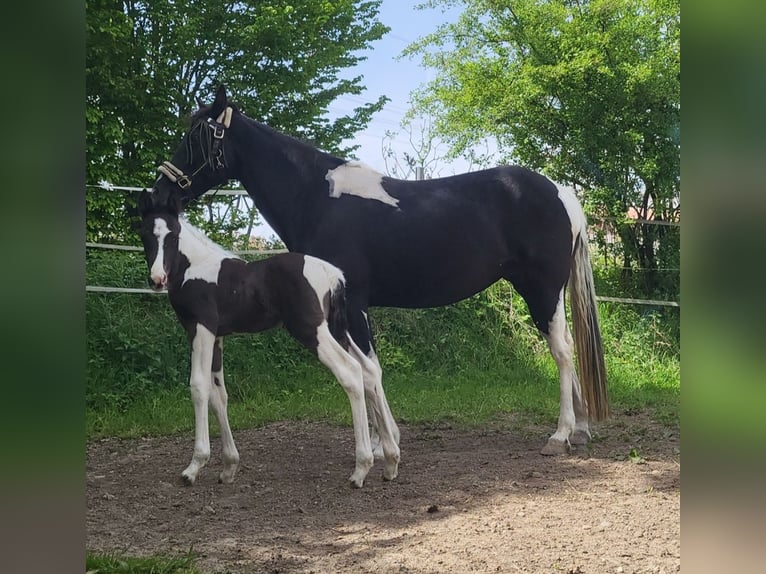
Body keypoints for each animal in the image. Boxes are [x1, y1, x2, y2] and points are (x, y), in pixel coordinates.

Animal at [138, 190, 402, 490]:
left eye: (173, 234)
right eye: (145, 234)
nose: (157, 279)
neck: (196, 267)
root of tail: (333, 274)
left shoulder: (200, 329)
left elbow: (199, 386)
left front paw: (194, 466)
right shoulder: (217, 337)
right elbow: (219, 394)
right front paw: (229, 466)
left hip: (312, 331)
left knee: (351, 372)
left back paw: (361, 469)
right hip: (337, 330)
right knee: (369, 371)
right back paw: (390, 461)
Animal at [153, 86, 608, 464]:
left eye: (197, 137)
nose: (161, 192)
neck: (318, 199)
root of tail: (562, 193)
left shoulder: (352, 304)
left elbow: (368, 369)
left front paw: (382, 445)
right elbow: (365, 370)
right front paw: (379, 443)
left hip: (542, 290)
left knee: (562, 352)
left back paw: (560, 435)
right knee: (567, 348)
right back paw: (581, 430)